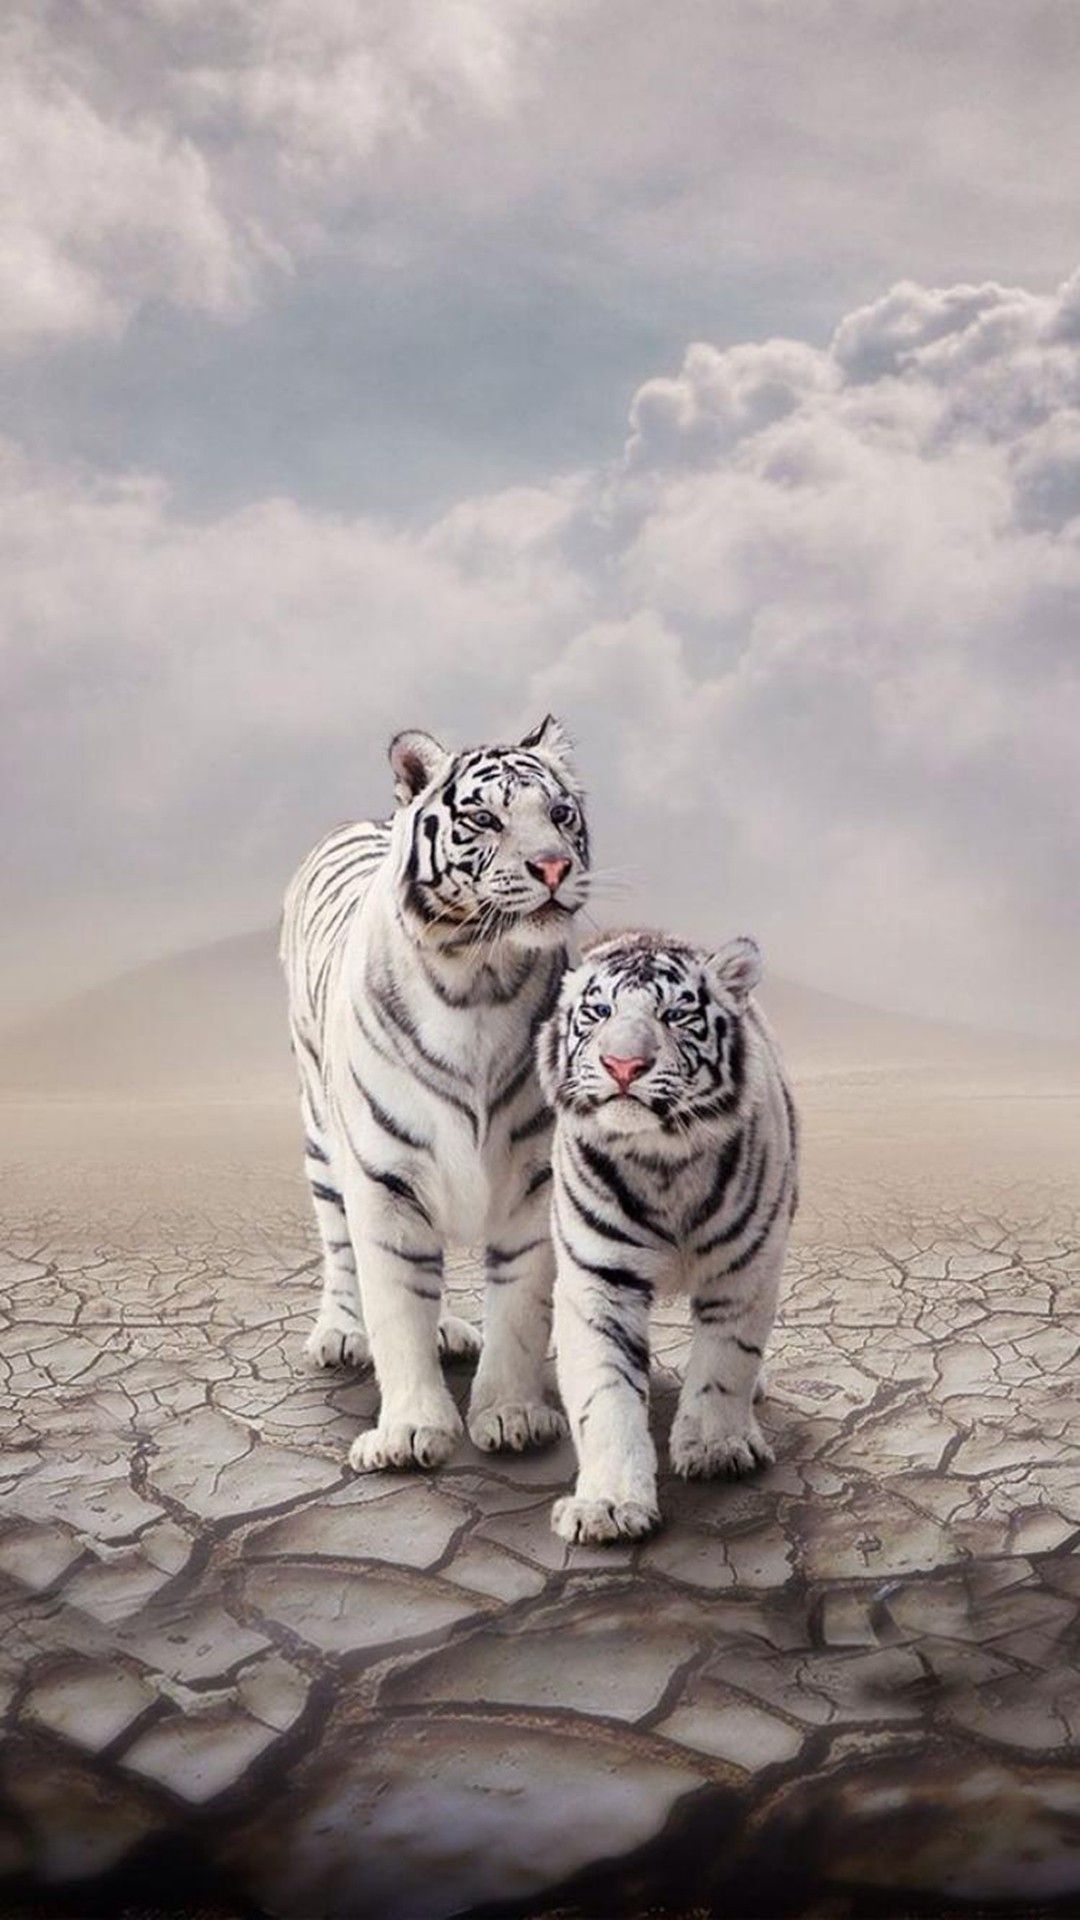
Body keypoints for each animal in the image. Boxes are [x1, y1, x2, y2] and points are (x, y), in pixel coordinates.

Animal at [280, 716, 590, 1473]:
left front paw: (511, 1415)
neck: (480, 977)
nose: (554, 868)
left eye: (560, 815)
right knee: (339, 1245)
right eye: (484, 819)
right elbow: (394, 1307)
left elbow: (519, 1309)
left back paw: (448, 1329)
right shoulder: (385, 1181)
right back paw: (339, 1333)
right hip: (321, 1137)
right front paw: (411, 1430)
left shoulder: (534, 1179)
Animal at [536, 927, 798, 1543]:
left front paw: (717, 1448)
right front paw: (607, 1506)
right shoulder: (599, 1282)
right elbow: (605, 1393)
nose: (623, 1065)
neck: (662, 1162)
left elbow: (726, 1362)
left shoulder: (745, 1271)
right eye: (599, 1012)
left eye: (676, 1014)